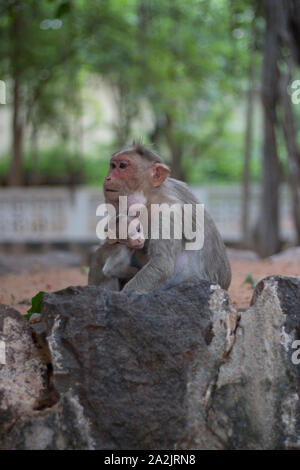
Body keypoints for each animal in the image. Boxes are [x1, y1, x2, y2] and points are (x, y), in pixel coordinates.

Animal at [88, 141, 231, 292]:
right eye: (112, 165)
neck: (149, 198)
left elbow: (161, 264)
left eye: (122, 166)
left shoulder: (168, 210)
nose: (108, 178)